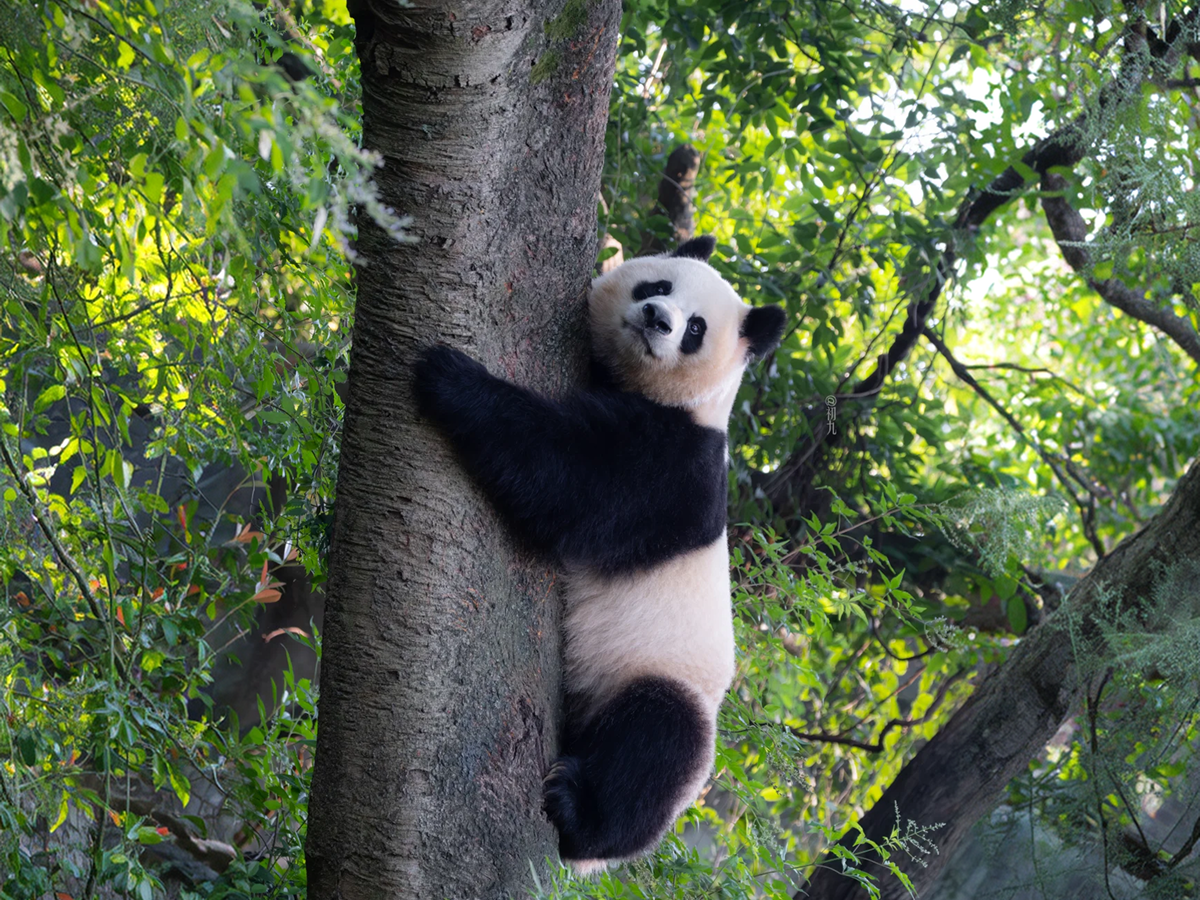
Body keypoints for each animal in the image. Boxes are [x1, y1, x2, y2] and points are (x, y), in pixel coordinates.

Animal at [413, 235, 786, 872]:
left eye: (696, 329)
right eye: (658, 286)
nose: (657, 319)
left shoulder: (675, 469)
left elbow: (571, 477)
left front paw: (449, 377)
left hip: (664, 681)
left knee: (657, 742)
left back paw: (580, 815)